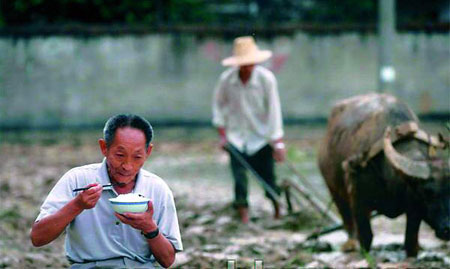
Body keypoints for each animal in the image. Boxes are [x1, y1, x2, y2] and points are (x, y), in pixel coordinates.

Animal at [318, 92, 448, 255]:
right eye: (428, 191)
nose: (447, 228)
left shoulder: (414, 207)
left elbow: (410, 241)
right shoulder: (358, 200)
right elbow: (366, 236)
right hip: (334, 190)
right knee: (346, 217)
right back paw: (350, 244)